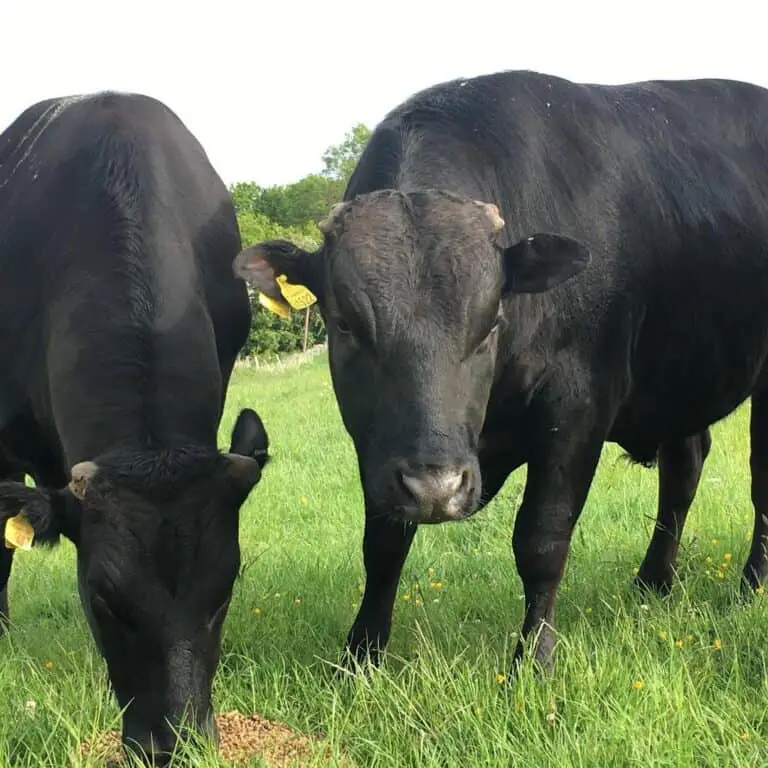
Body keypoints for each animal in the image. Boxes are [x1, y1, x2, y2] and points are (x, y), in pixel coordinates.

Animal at [233, 69, 768, 678]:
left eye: (491, 321)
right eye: (344, 323)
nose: (438, 487)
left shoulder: (577, 411)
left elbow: (541, 540)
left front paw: (534, 661)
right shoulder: (380, 447)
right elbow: (383, 543)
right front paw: (361, 656)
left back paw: (751, 585)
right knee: (684, 469)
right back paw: (652, 584)